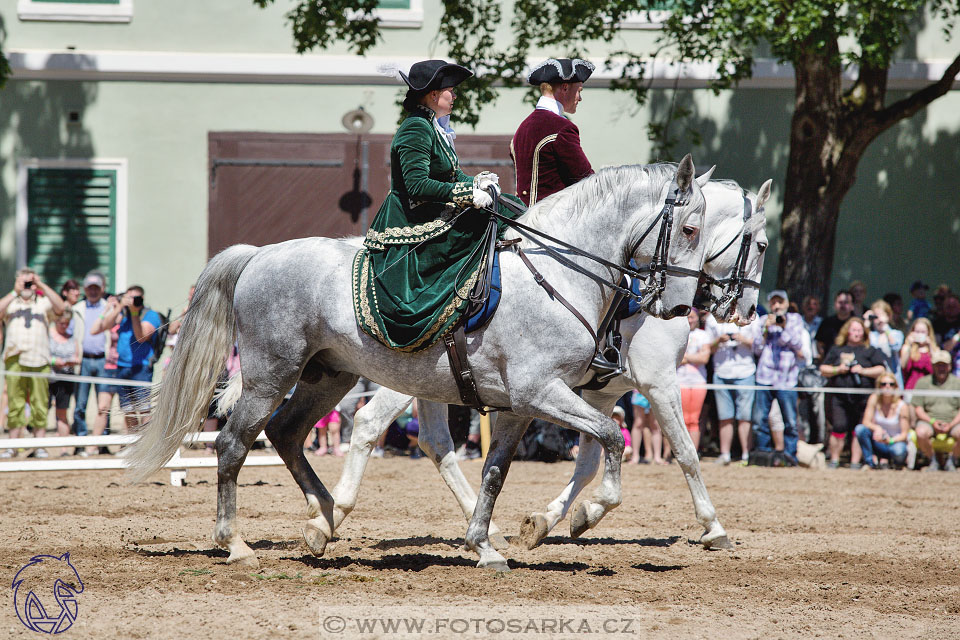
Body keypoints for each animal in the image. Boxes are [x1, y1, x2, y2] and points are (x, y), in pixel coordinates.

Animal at [125, 156, 712, 568]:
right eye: (689, 229)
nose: (681, 307)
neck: (560, 276)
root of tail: (260, 254)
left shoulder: (521, 405)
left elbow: (496, 471)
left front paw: (487, 544)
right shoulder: (543, 392)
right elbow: (615, 441)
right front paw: (593, 511)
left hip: (328, 376)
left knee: (288, 433)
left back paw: (325, 520)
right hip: (273, 374)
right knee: (234, 443)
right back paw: (238, 543)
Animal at [326, 178, 768, 556]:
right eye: (762, 246)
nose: (747, 311)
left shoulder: (604, 393)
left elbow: (590, 461)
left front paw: (558, 519)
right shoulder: (658, 383)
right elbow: (685, 452)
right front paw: (713, 527)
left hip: (433, 383)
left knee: (435, 443)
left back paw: (483, 525)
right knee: (369, 422)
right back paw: (330, 515)